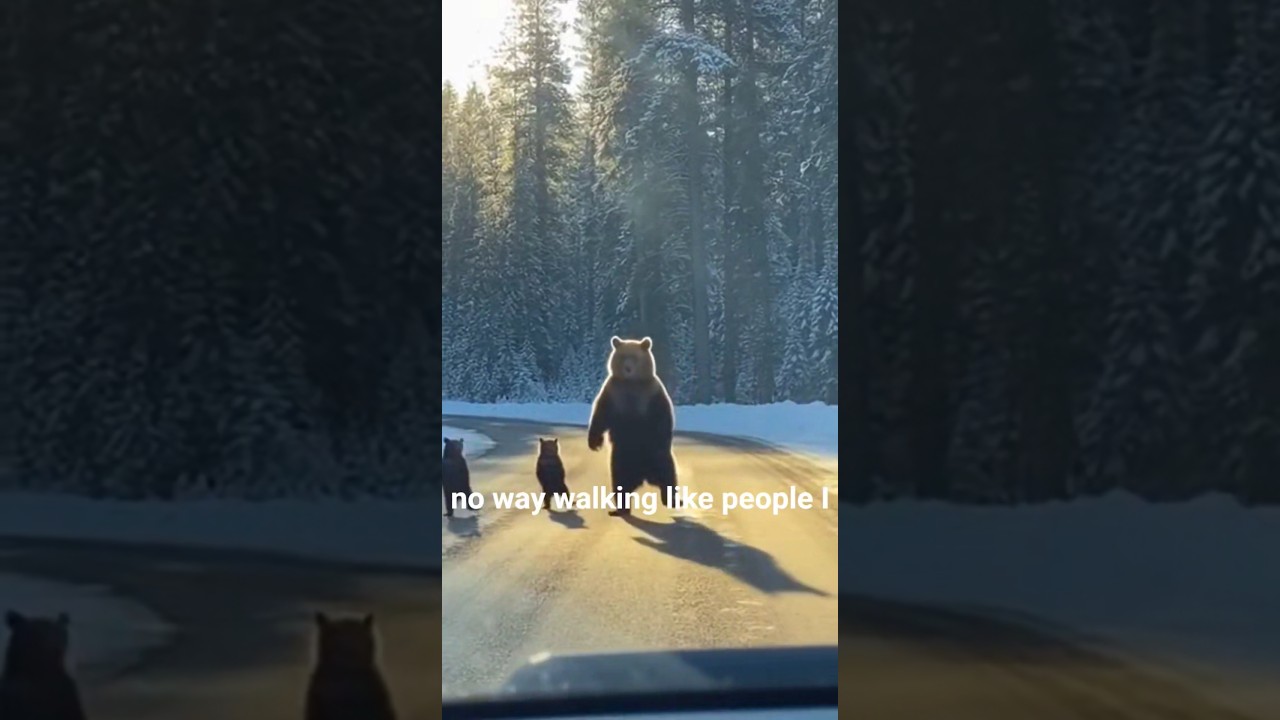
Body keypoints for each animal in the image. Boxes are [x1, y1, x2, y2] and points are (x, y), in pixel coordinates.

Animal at [587, 336, 679, 516]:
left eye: (635, 357)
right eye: (623, 356)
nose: (628, 368)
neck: (631, 383)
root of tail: (644, 475)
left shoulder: (651, 393)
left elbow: (663, 416)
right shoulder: (613, 392)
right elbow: (600, 415)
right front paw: (594, 443)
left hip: (657, 456)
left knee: (668, 474)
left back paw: (672, 499)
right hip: (621, 458)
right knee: (620, 482)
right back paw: (620, 508)